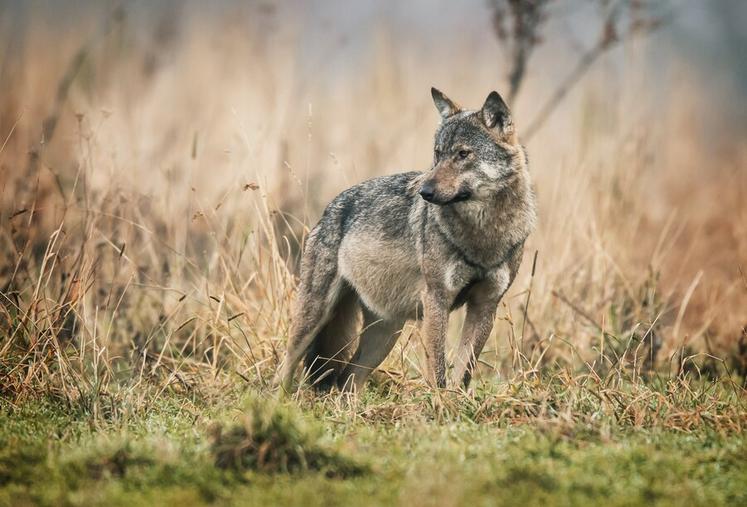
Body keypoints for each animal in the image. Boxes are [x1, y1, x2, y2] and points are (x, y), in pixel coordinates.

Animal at [277, 88, 536, 393]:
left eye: (463, 154)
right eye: (437, 154)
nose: (425, 191)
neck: (483, 234)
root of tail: (330, 208)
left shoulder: (486, 304)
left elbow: (464, 371)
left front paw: (457, 401)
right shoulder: (436, 299)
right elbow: (437, 371)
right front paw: (439, 402)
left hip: (384, 336)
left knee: (347, 380)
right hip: (315, 315)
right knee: (286, 366)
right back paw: (275, 398)